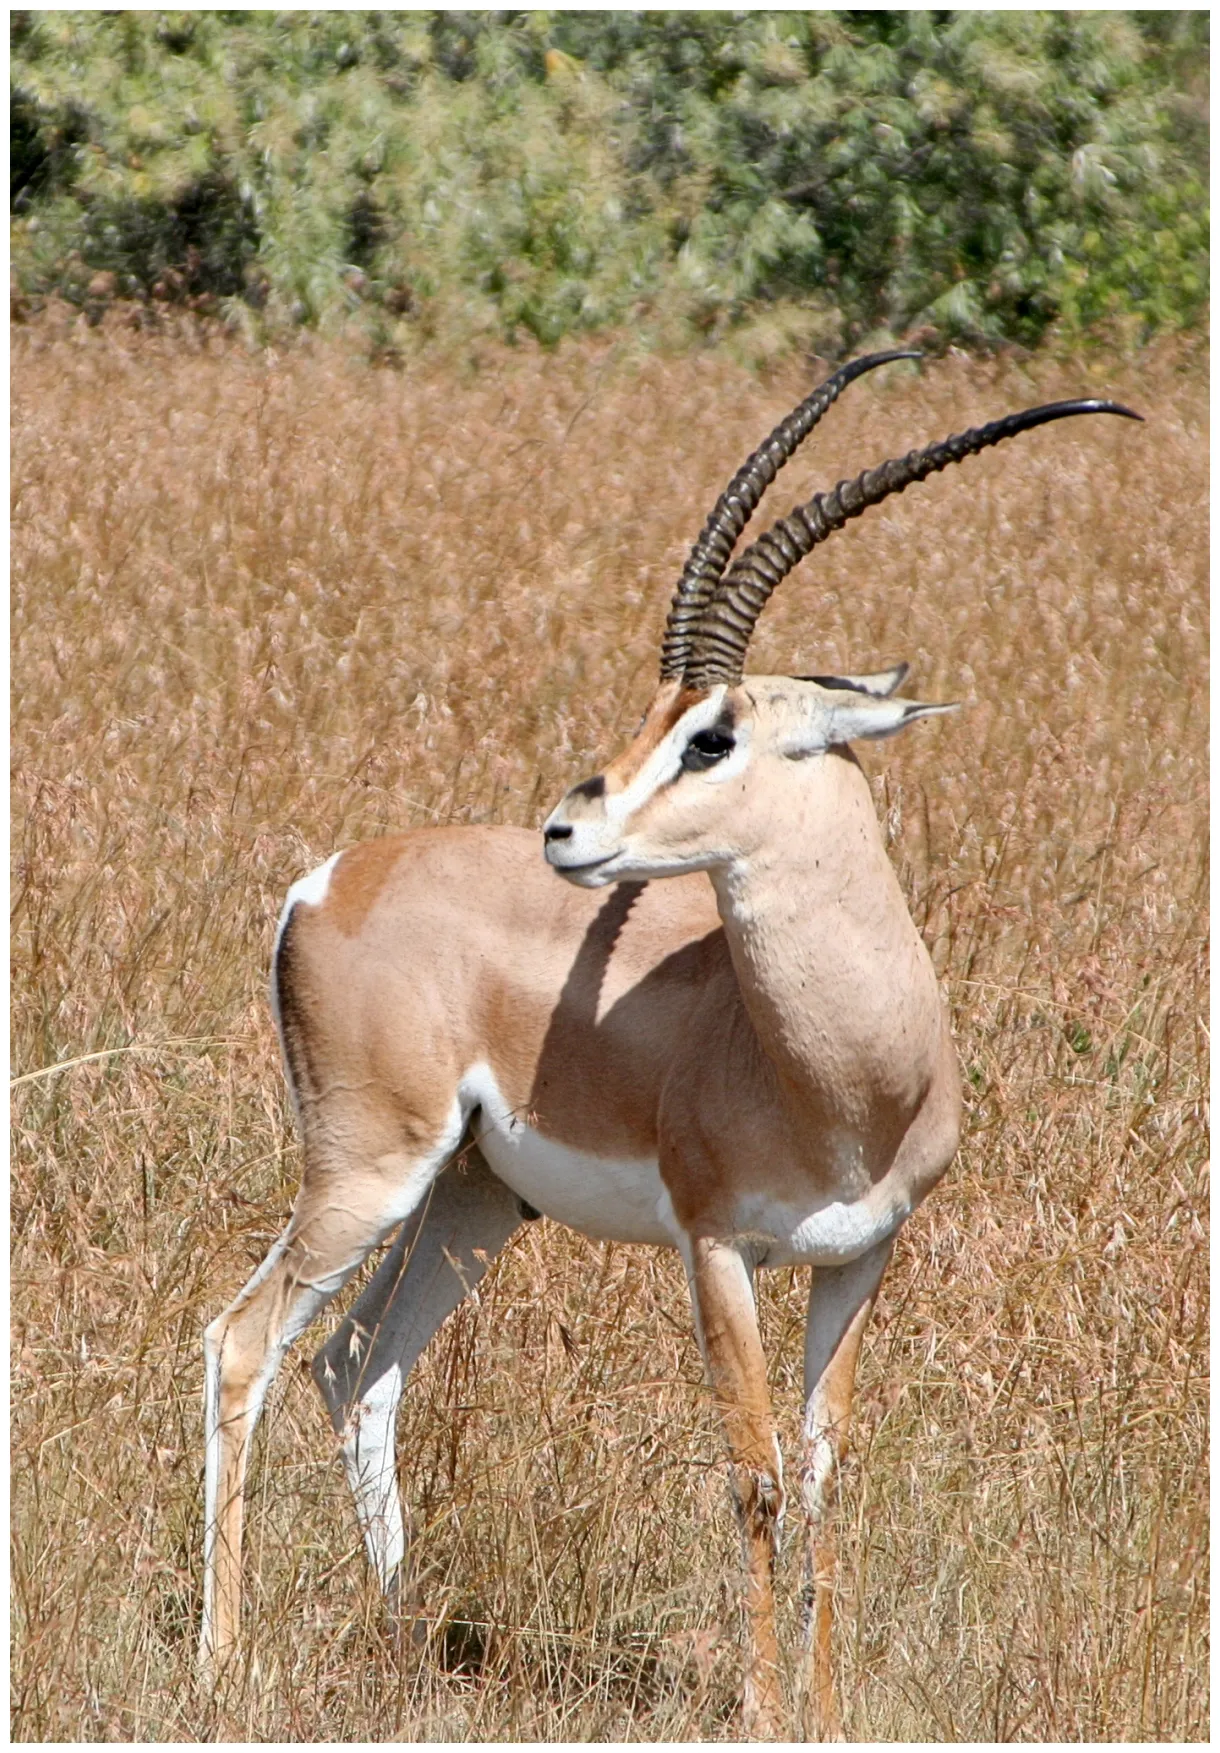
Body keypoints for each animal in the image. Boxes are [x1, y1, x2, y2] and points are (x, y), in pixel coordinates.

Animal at [200, 353, 1139, 1735]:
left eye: (711, 733)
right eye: (658, 712)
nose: (565, 832)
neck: (844, 1082)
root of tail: (323, 880)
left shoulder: (862, 1257)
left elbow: (824, 1475)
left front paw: (826, 1709)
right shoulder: (716, 1250)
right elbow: (752, 1474)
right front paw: (760, 1709)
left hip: (470, 1199)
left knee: (357, 1365)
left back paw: (400, 1644)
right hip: (367, 1169)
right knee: (243, 1342)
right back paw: (219, 1661)